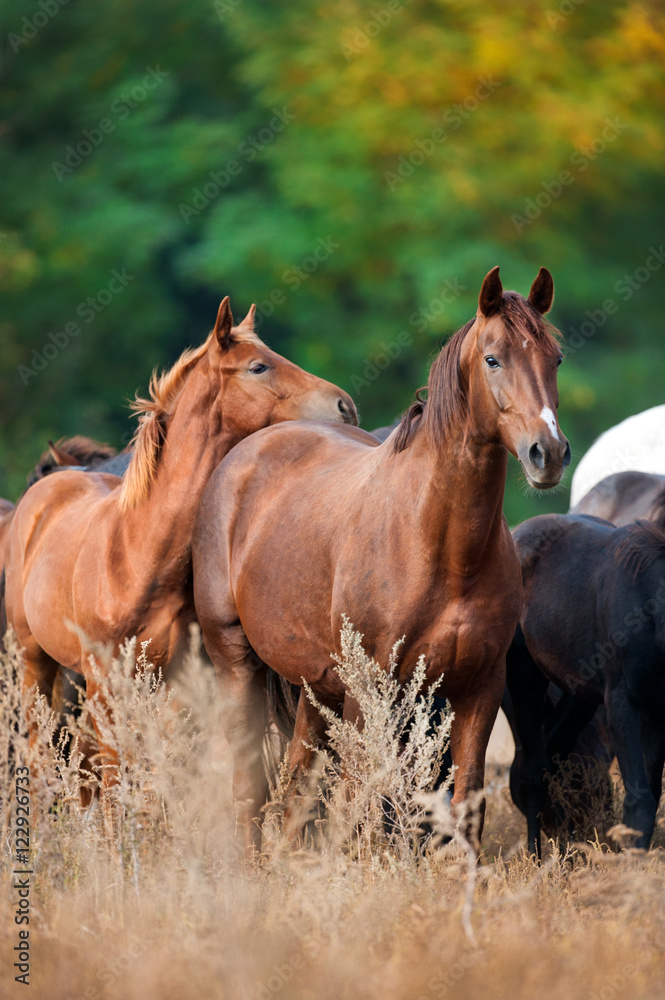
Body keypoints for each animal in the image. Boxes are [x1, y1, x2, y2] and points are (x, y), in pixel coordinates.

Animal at [4, 298, 358, 786]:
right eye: (258, 366)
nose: (346, 406)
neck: (136, 556)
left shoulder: (176, 689)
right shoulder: (104, 684)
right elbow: (114, 780)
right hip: (33, 660)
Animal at [192, 266, 571, 857]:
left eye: (555, 358)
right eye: (493, 359)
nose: (547, 454)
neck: (440, 550)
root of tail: (246, 453)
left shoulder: (478, 690)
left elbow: (465, 804)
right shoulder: (373, 692)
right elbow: (366, 806)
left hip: (317, 689)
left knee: (296, 787)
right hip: (238, 664)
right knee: (252, 788)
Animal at [506, 494, 665, 853]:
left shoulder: (658, 710)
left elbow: (651, 792)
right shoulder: (624, 702)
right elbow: (639, 801)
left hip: (578, 696)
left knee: (548, 756)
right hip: (525, 678)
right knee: (532, 769)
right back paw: (537, 856)